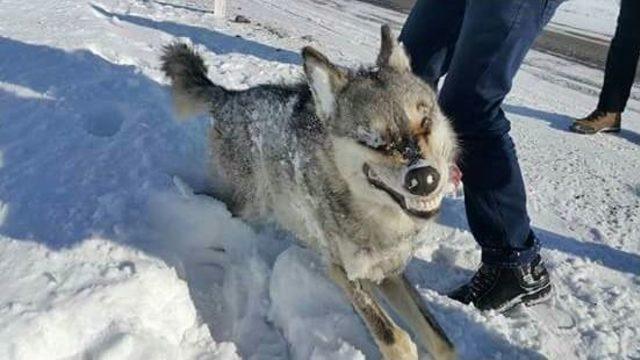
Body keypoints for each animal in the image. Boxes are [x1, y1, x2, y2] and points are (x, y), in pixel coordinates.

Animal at [161, 25, 460, 360]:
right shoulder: (343, 270)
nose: (424, 178)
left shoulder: (389, 270)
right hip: (247, 202)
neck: (378, 218)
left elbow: (441, 341)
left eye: (425, 122)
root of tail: (229, 97)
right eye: (372, 141)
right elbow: (395, 337)